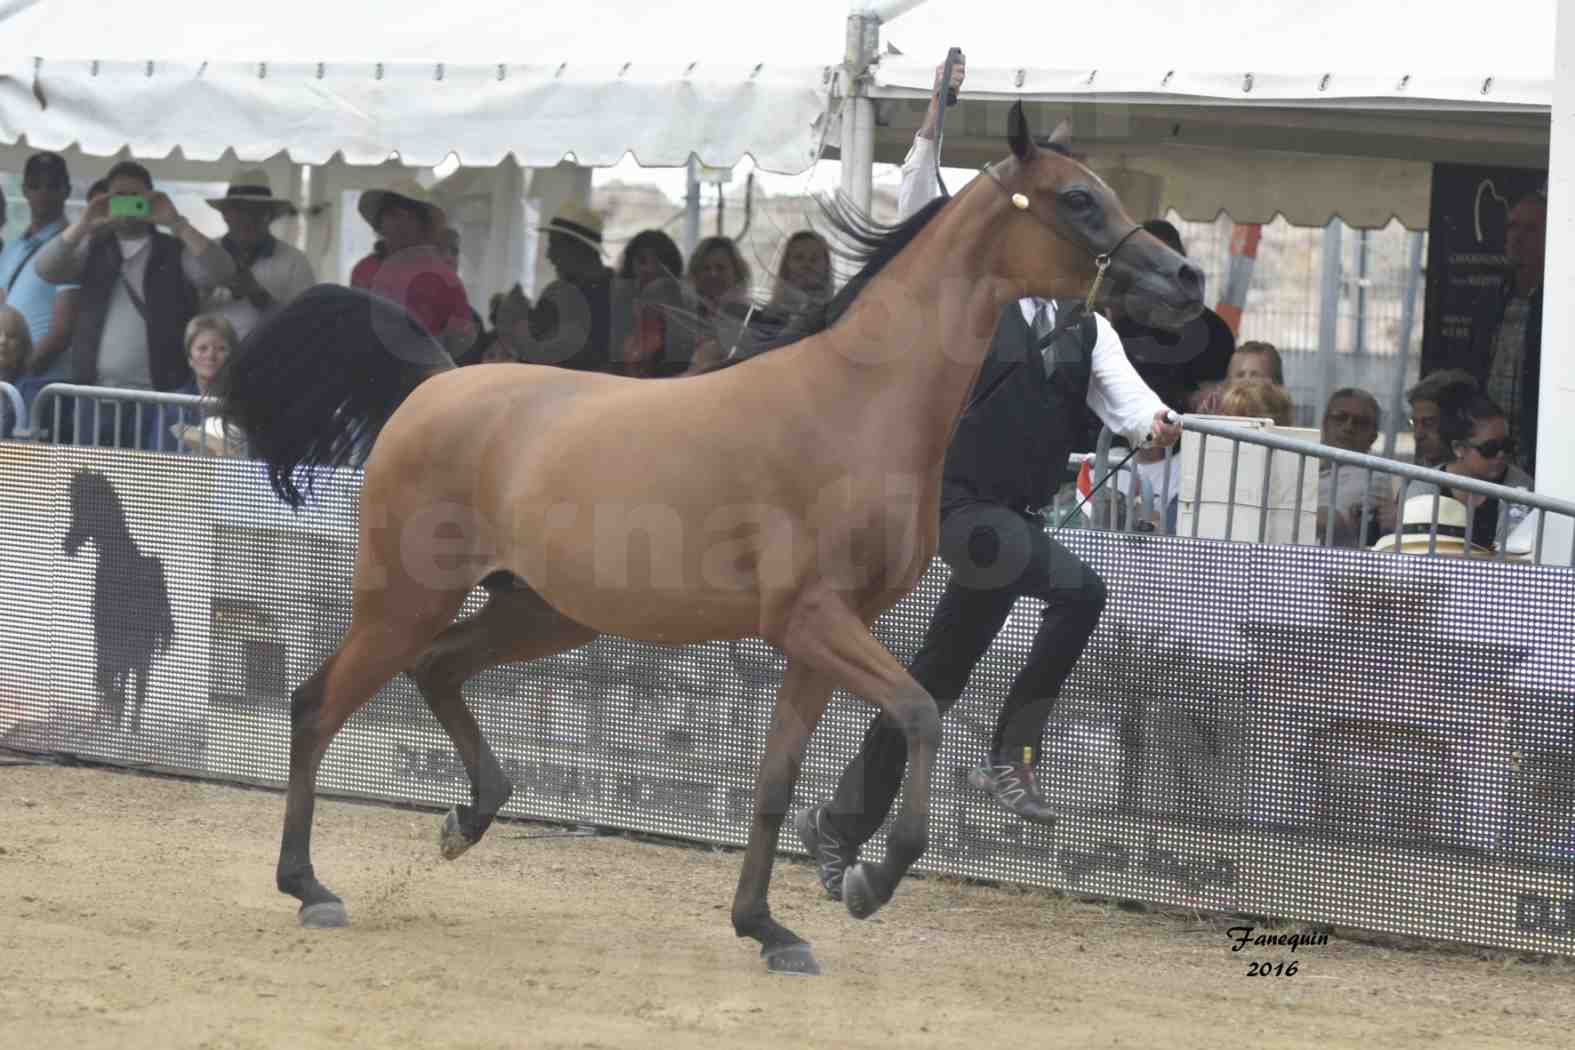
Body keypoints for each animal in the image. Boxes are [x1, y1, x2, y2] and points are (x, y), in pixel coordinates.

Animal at [222, 102, 1197, 976]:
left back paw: (467, 818)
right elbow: (919, 710)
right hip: (404, 599)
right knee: (314, 704)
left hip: (541, 613)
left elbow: (773, 785)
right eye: (1078, 199)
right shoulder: (811, 621)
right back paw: (309, 886)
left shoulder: (820, 641)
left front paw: (768, 929)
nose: (1183, 279)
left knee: (436, 672)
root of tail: (434, 385)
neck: (852, 404)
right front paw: (866, 883)